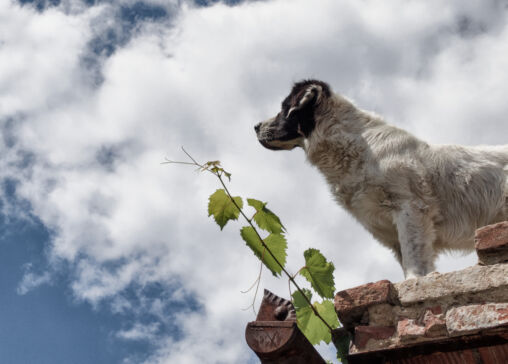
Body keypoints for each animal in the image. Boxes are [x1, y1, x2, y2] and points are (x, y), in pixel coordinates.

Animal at [256, 80, 506, 278]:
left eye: (284, 108)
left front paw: (414, 281)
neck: (362, 148)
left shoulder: (410, 208)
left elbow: (413, 256)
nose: (256, 126)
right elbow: (406, 257)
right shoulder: (389, 231)